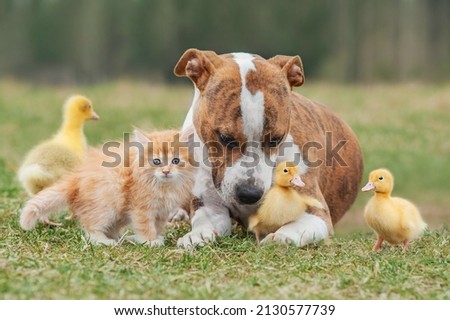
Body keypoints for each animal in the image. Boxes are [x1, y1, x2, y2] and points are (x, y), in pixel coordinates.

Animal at [19, 129, 195, 246]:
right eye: (156, 161)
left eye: (175, 161)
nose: (166, 171)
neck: (164, 186)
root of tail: (76, 178)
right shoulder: (141, 208)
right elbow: (145, 225)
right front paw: (150, 241)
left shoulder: (162, 211)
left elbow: (157, 226)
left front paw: (155, 237)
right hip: (109, 201)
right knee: (90, 227)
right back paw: (104, 241)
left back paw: (121, 238)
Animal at [174, 48, 364, 248]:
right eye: (225, 138)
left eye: (276, 140)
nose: (249, 194)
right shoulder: (210, 204)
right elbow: (205, 221)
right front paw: (197, 235)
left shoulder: (317, 213)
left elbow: (296, 226)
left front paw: (281, 237)